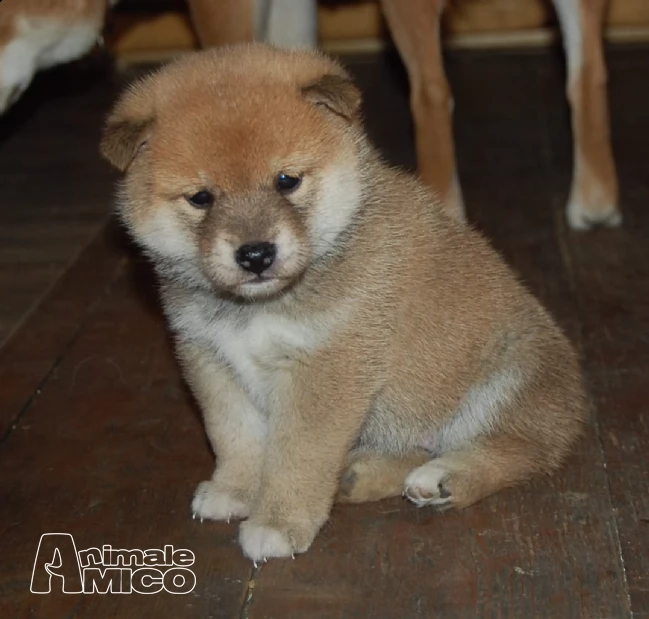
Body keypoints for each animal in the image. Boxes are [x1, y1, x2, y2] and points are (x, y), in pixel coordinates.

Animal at [101, 43, 588, 564]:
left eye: (286, 180)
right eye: (200, 197)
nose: (255, 254)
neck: (259, 309)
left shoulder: (325, 369)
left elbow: (297, 456)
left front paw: (277, 522)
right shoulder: (211, 361)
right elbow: (234, 437)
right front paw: (235, 489)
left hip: (512, 378)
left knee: (518, 451)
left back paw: (444, 478)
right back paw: (359, 476)